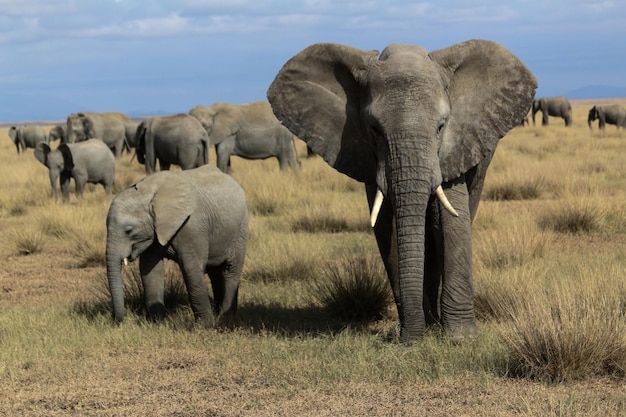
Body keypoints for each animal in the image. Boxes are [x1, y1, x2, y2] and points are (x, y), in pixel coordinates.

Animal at [104, 164, 246, 324]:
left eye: (129, 230)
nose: (120, 317)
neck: (148, 193)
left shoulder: (191, 227)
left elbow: (191, 268)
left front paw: (205, 324)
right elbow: (150, 270)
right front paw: (156, 323)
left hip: (240, 230)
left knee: (230, 270)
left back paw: (226, 318)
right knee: (214, 272)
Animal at [266, 39, 532, 342]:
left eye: (441, 126)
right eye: (374, 128)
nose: (404, 337)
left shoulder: (455, 146)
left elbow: (451, 221)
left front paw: (461, 338)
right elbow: (386, 226)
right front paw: (413, 332)